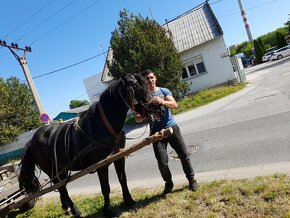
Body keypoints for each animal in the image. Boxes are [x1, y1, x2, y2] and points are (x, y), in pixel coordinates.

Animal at [18, 74, 163, 217]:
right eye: (138, 88)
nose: (160, 109)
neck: (103, 125)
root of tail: (32, 141)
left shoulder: (119, 156)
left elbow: (123, 179)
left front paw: (129, 201)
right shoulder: (101, 165)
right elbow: (105, 188)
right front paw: (107, 210)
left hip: (61, 171)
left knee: (60, 188)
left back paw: (66, 207)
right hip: (52, 171)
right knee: (62, 188)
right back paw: (75, 211)